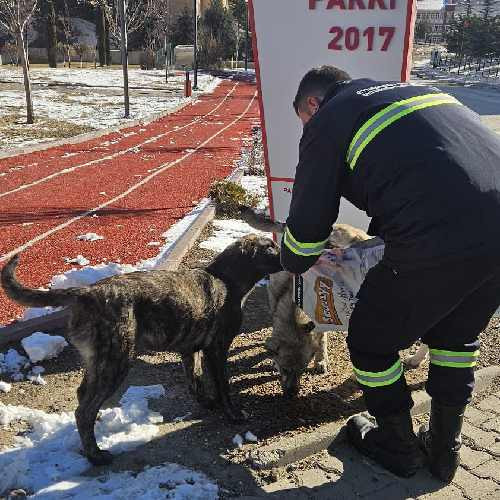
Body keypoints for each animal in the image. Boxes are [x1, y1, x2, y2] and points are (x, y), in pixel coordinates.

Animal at [0, 234, 282, 464]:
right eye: (270, 247)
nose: (287, 255)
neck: (226, 279)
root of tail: (86, 292)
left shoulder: (190, 350)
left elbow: (195, 381)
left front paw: (207, 403)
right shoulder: (217, 349)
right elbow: (222, 386)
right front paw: (233, 414)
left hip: (98, 361)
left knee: (83, 397)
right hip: (116, 361)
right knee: (84, 410)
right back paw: (96, 456)